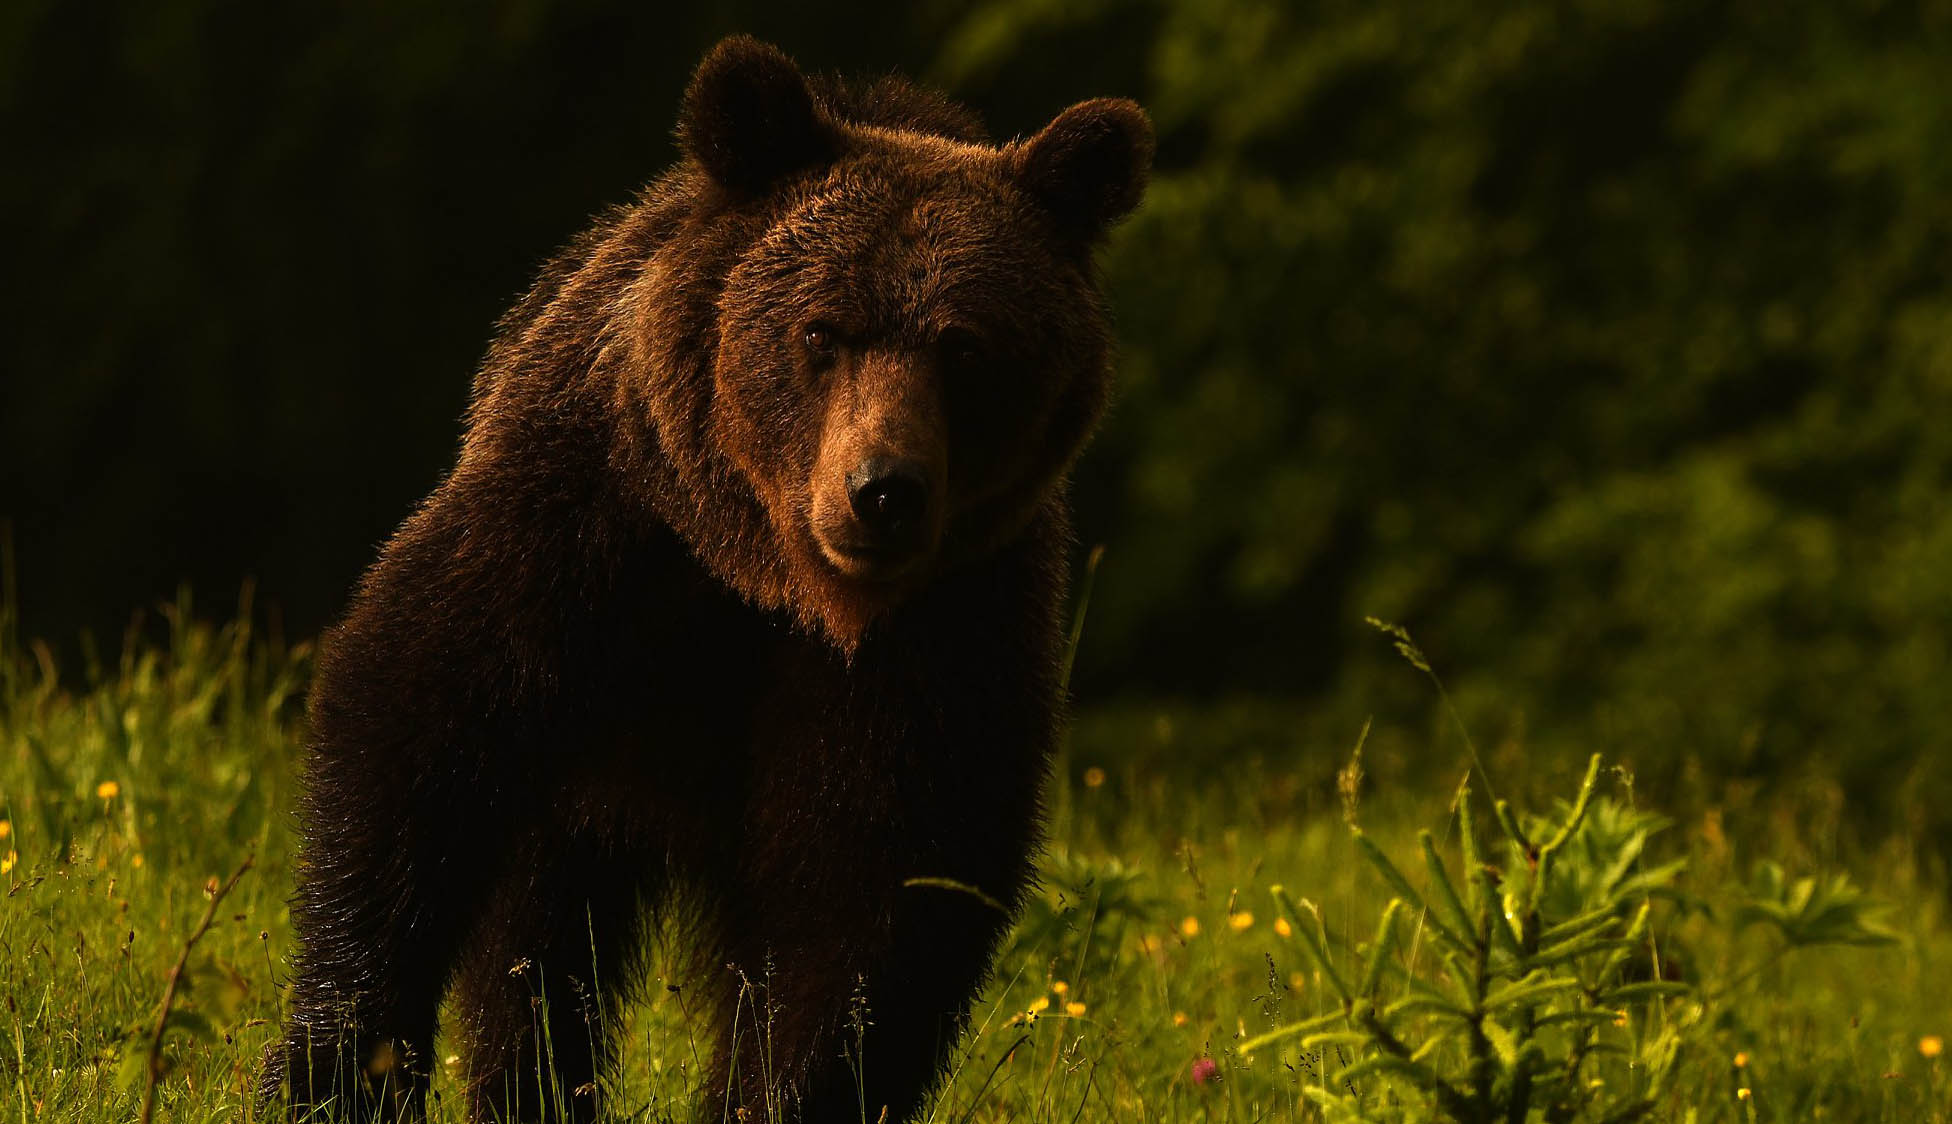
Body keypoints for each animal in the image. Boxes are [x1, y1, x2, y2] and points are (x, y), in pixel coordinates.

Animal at [259, 35, 1139, 1124]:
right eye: (822, 330)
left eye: (966, 347)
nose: (881, 492)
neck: (767, 577)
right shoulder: (585, 531)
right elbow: (413, 735)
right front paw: (337, 1069)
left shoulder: (937, 642)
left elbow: (870, 890)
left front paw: (787, 1092)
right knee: (538, 941)